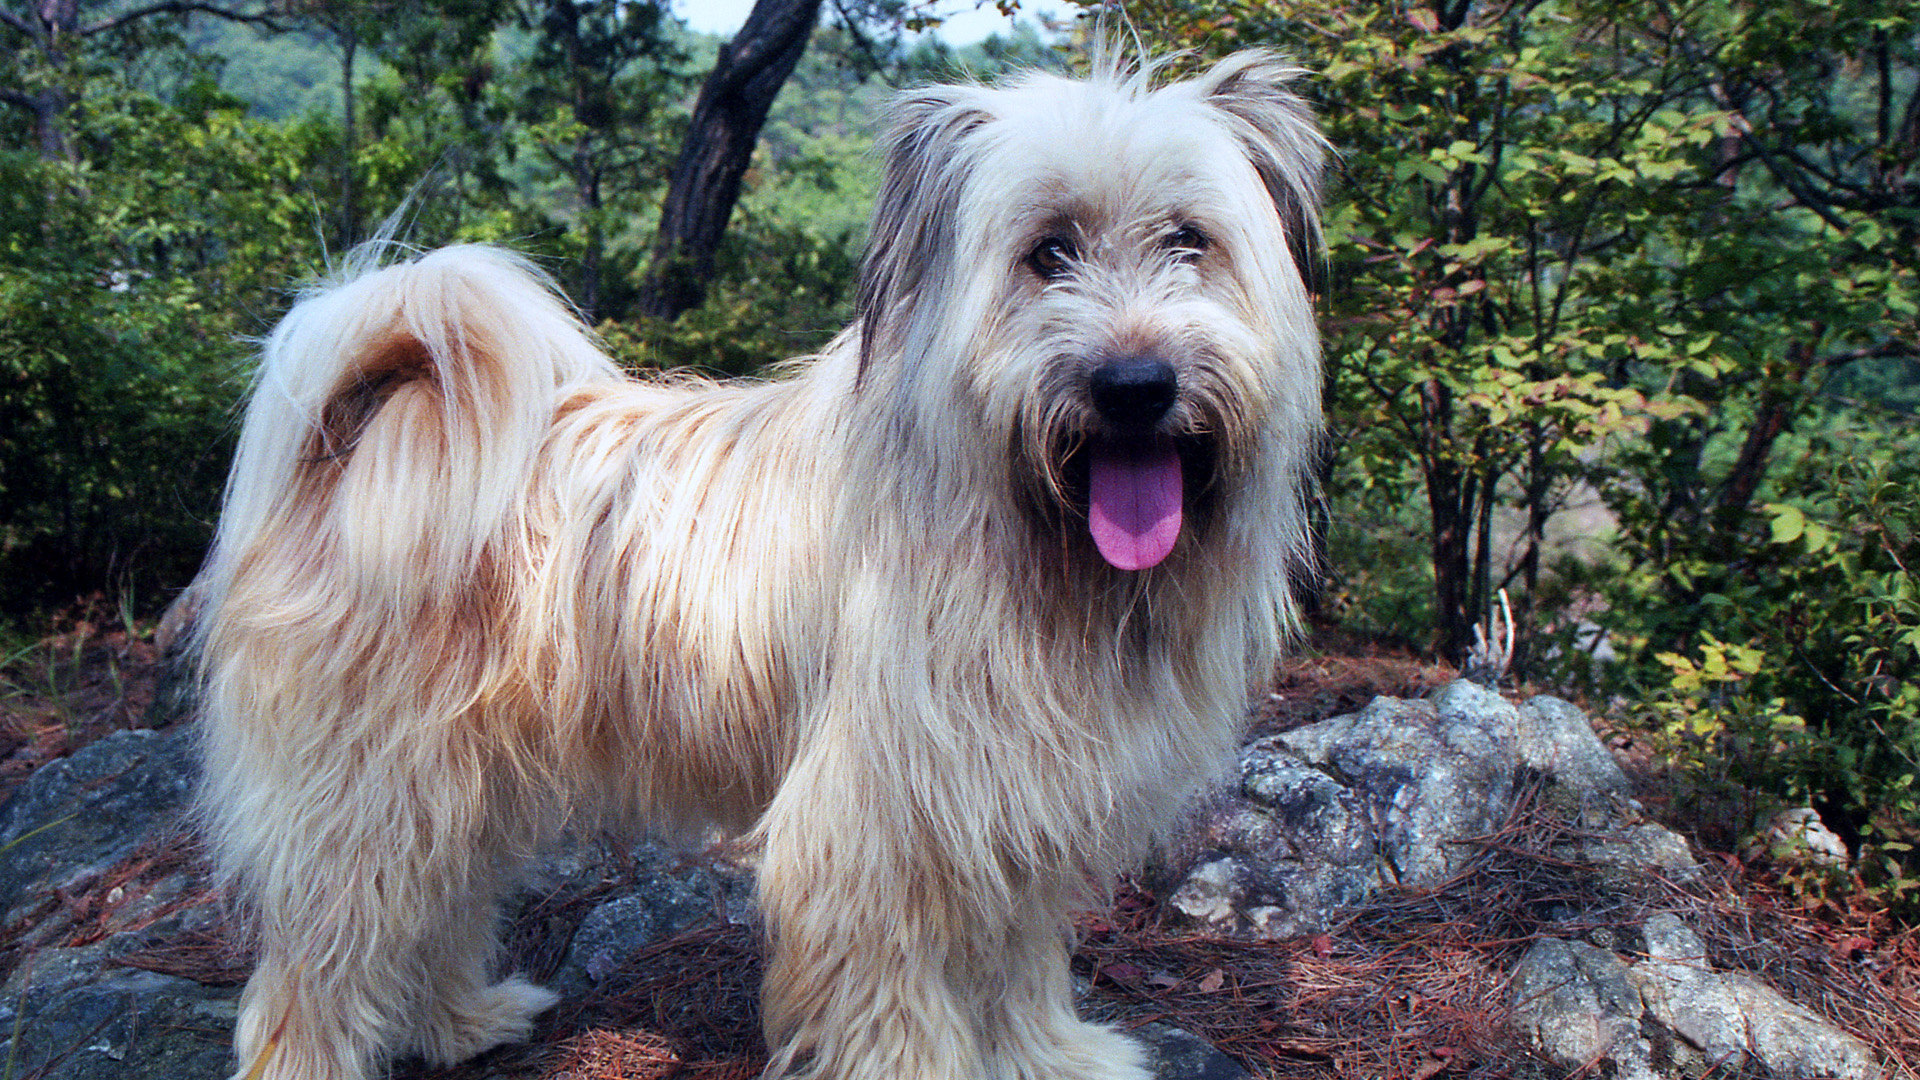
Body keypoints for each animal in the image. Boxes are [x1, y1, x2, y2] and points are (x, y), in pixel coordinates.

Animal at [198, 48, 1336, 1076]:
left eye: (1189, 239)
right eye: (1046, 252)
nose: (1135, 385)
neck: (1028, 535)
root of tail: (362, 431)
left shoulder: (1009, 807)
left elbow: (1013, 962)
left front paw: (1044, 1055)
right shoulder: (878, 823)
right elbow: (897, 993)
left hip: (456, 783)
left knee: (435, 910)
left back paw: (459, 1021)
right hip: (368, 790)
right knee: (319, 965)